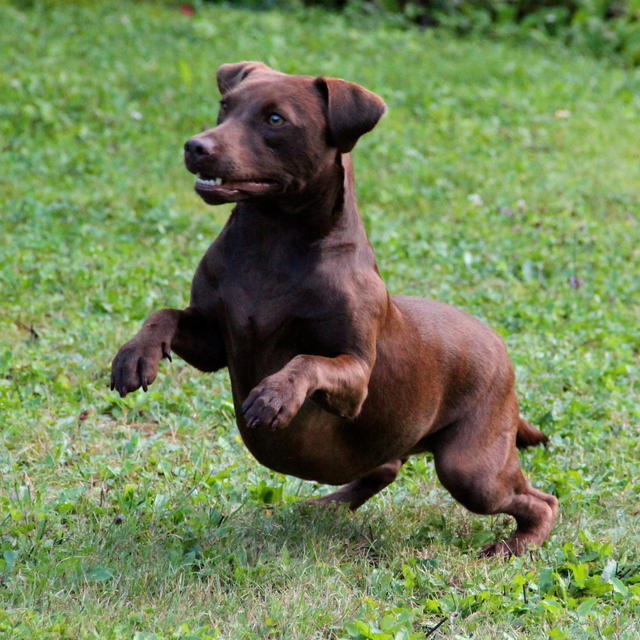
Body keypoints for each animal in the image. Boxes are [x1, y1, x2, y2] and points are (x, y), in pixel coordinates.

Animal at [112, 62, 556, 556]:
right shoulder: (213, 341)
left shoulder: (357, 375)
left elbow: (307, 360)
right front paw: (135, 357)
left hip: (471, 469)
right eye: (225, 106)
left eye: (275, 119)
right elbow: (164, 314)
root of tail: (500, 347)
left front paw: (275, 394)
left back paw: (517, 546)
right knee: (385, 466)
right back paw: (329, 504)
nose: (196, 146)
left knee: (541, 499)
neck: (273, 242)